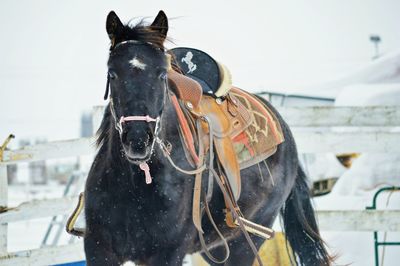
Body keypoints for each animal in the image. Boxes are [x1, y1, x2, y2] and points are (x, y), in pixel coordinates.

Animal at [83, 10, 332, 266]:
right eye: (112, 73)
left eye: (161, 74)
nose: (138, 140)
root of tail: (286, 134)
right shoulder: (98, 250)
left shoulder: (168, 253)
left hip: (246, 241)